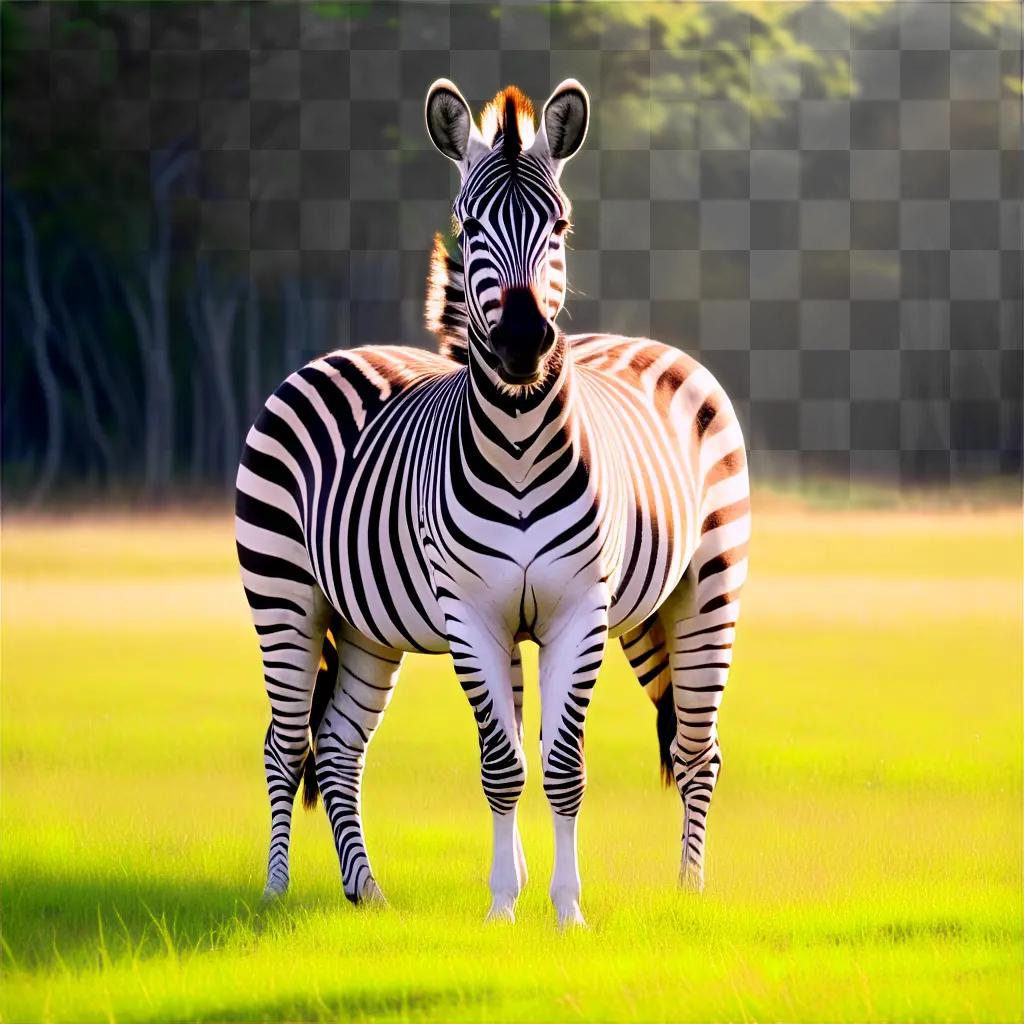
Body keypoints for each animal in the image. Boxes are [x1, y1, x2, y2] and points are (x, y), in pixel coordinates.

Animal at [237, 79, 753, 929]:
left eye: (561, 224)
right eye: (468, 225)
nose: (520, 343)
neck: (514, 444)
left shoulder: (581, 608)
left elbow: (562, 763)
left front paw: (566, 910)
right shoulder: (472, 615)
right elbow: (503, 763)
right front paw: (505, 907)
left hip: (696, 589)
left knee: (695, 746)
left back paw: (688, 890)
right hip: (289, 594)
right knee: (292, 745)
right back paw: (282, 891)